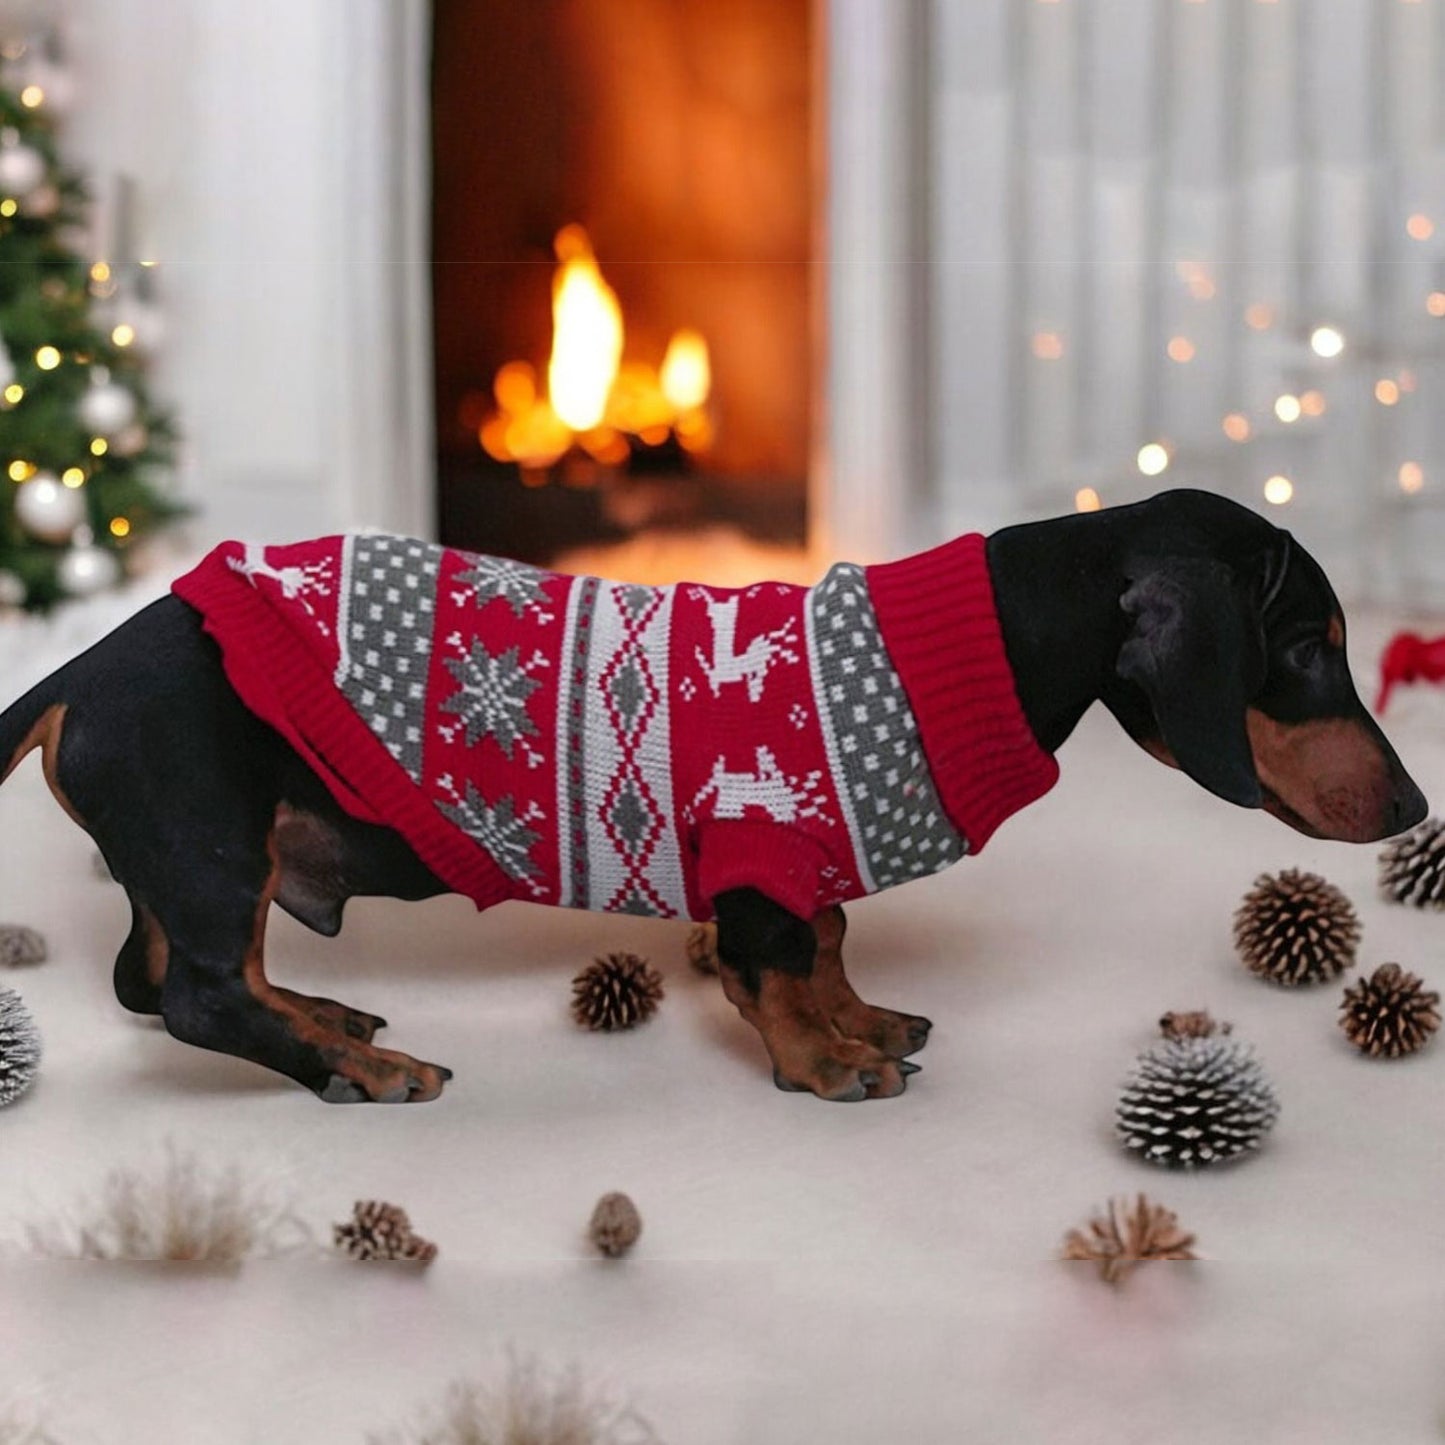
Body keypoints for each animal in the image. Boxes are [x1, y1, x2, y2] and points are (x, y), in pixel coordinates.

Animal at [0, 491, 1421, 1098]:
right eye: (1306, 650)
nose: (1414, 807)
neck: (954, 649)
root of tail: (75, 669)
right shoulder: (758, 858)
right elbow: (774, 969)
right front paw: (823, 1060)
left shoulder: (804, 867)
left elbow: (829, 944)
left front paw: (861, 1020)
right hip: (208, 841)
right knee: (194, 997)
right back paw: (359, 1065)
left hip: (197, 861)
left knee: (168, 982)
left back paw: (331, 1020)